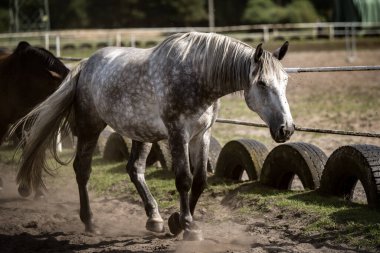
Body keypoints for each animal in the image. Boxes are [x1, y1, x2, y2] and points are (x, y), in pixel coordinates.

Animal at [13, 32, 294, 241]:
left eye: (285, 80)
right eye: (262, 84)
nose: (287, 129)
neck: (198, 75)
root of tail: (85, 65)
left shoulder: (202, 135)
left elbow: (200, 181)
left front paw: (177, 222)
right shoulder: (178, 133)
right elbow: (184, 179)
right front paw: (188, 227)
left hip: (142, 134)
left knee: (135, 169)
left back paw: (154, 218)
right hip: (90, 127)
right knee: (83, 170)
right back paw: (90, 222)